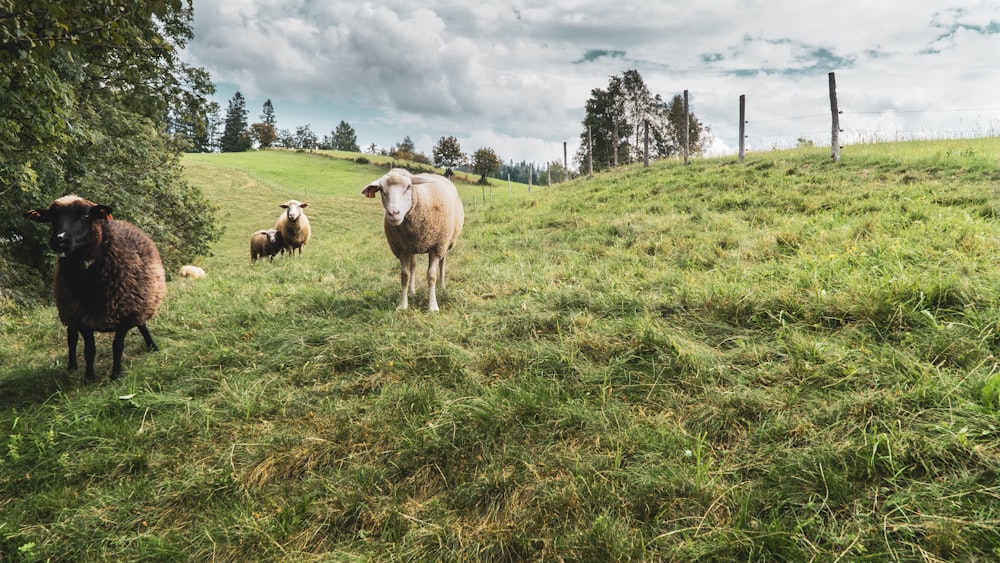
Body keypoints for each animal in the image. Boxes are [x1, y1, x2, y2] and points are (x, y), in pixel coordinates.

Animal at [24, 195, 166, 384]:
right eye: (52, 218)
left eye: (85, 215)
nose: (59, 239)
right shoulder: (81, 316)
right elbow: (89, 349)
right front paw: (89, 377)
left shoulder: (125, 314)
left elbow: (118, 346)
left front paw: (116, 375)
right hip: (68, 309)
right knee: (71, 337)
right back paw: (72, 366)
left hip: (139, 300)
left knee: (141, 324)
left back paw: (152, 346)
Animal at [364, 167, 464, 312]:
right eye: (381, 189)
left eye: (409, 187)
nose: (393, 213)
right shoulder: (402, 248)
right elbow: (405, 276)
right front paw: (402, 305)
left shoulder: (436, 246)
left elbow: (431, 276)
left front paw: (433, 306)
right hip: (412, 246)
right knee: (414, 265)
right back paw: (412, 290)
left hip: (446, 243)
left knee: (443, 263)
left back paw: (442, 286)